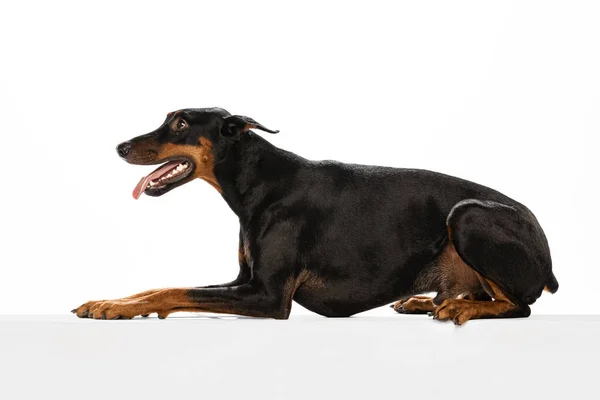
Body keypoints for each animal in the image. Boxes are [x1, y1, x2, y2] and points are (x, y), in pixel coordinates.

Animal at [72, 107, 560, 324]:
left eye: (180, 124)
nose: (120, 147)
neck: (258, 184)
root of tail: (546, 252)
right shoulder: (243, 279)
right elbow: (162, 285)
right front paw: (109, 302)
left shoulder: (269, 296)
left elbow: (174, 291)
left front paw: (115, 308)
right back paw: (427, 301)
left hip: (467, 214)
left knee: (518, 306)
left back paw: (458, 309)